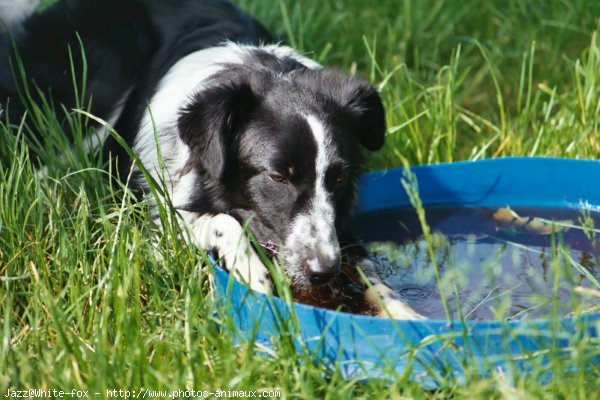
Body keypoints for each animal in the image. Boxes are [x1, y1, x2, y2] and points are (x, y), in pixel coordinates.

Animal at [1, 0, 422, 318]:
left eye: (338, 178)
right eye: (278, 177)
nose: (322, 271)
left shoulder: (340, 229)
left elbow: (369, 272)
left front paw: (407, 317)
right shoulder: (150, 216)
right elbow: (218, 221)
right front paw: (253, 273)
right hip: (103, 71)